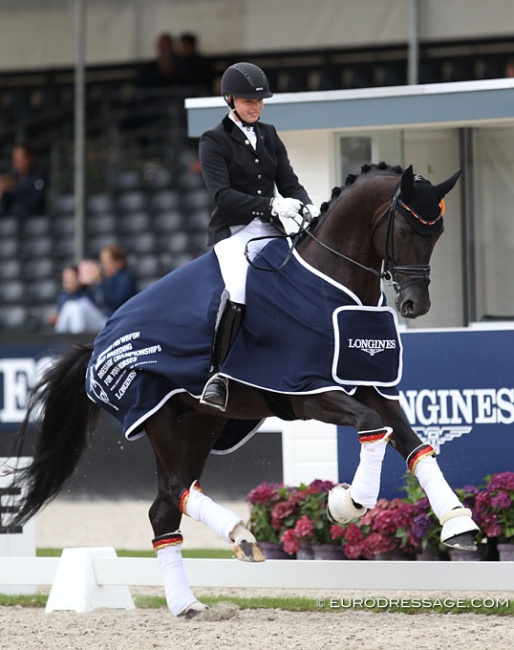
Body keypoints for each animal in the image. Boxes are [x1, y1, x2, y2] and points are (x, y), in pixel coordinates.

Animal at [11, 163, 476, 616]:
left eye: (437, 234)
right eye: (405, 231)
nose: (416, 305)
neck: (331, 288)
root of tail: (98, 343)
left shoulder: (369, 386)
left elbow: (414, 445)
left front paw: (459, 523)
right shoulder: (307, 392)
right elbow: (372, 426)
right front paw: (348, 502)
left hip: (198, 425)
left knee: (165, 508)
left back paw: (189, 604)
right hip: (156, 414)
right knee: (177, 489)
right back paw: (240, 536)